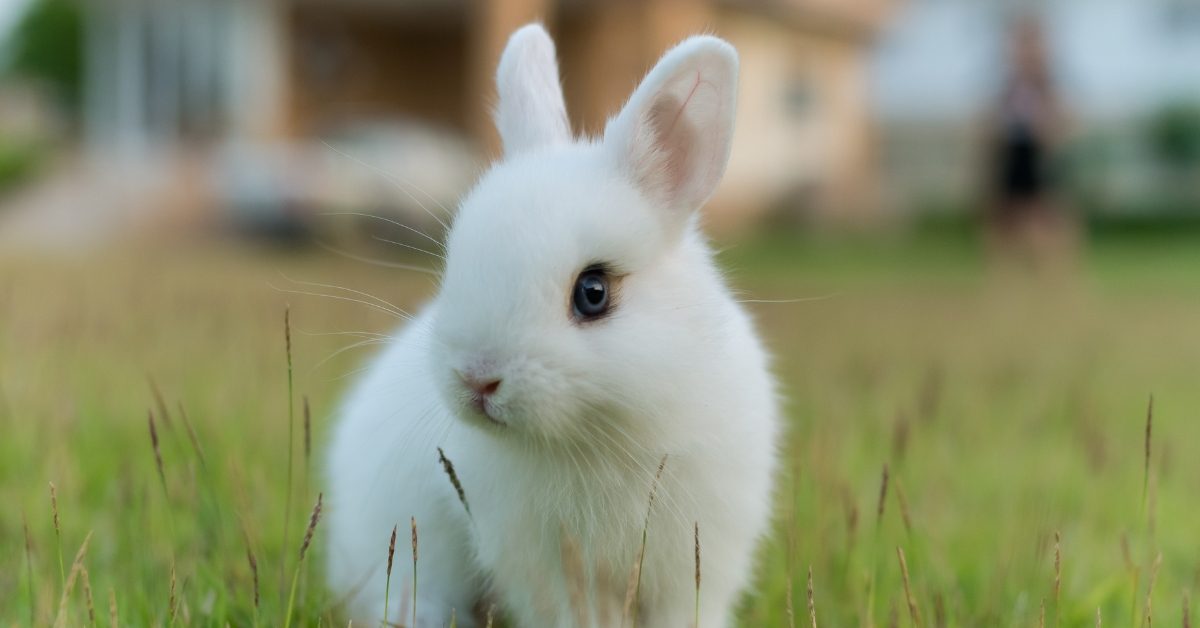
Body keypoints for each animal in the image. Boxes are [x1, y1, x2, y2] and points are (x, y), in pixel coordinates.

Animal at [326, 22, 777, 624]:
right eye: (455, 264)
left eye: (593, 292)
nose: (477, 379)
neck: (601, 436)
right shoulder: (548, 569)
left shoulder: (697, 564)